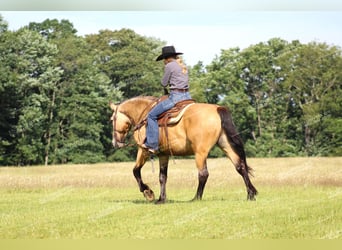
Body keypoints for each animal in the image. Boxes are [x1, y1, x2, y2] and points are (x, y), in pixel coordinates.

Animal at [109, 95, 256, 203]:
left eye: (112, 119)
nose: (115, 143)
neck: (144, 115)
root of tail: (217, 109)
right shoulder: (163, 155)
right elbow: (162, 177)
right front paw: (161, 199)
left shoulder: (143, 150)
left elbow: (135, 171)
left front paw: (148, 193)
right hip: (225, 145)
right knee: (240, 167)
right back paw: (251, 194)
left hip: (200, 152)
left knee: (203, 174)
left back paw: (196, 198)